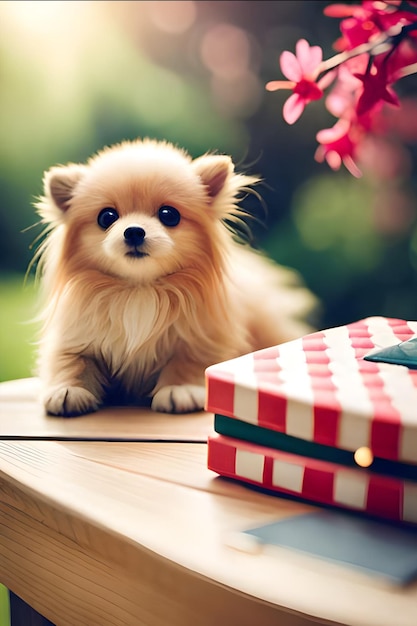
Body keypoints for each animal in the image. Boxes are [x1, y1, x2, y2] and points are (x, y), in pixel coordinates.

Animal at [34, 140, 316, 414]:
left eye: (169, 215)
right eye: (107, 217)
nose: (134, 231)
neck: (139, 290)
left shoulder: (203, 338)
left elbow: (188, 360)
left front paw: (179, 390)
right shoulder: (75, 338)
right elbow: (72, 362)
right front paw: (68, 391)